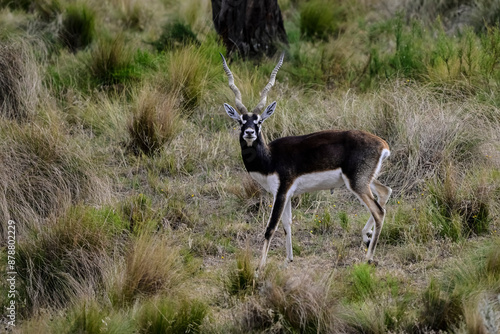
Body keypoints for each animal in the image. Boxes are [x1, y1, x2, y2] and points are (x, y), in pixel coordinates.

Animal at [222, 52, 390, 272]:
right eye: (241, 120)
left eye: (259, 121)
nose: (250, 132)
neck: (269, 158)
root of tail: (382, 143)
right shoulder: (286, 195)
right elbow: (287, 224)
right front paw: (288, 260)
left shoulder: (281, 191)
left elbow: (271, 227)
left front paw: (259, 269)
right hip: (365, 180)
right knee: (385, 192)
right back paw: (366, 237)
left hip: (357, 183)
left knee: (379, 211)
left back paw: (368, 257)